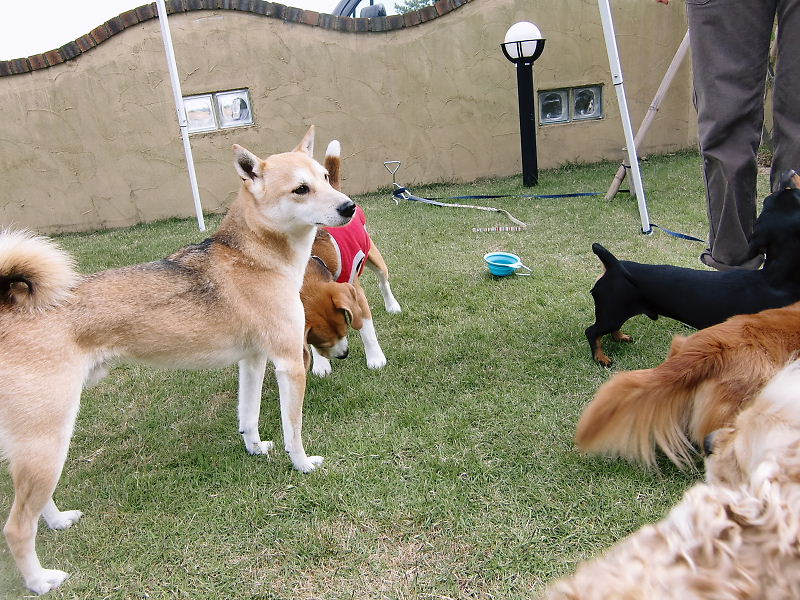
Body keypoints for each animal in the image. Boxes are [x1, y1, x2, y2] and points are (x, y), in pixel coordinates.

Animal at [0, 126, 355, 595]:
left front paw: (255, 447)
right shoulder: (288, 363)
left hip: (36, 447)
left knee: (33, 505)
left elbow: (248, 414)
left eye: (325, 178)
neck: (256, 254)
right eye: (301, 188)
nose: (349, 206)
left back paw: (58, 522)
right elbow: (293, 430)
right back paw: (40, 580)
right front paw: (301, 465)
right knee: (16, 526)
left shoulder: (253, 360)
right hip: (48, 438)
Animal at [301, 140, 401, 377]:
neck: (313, 259)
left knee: (383, 282)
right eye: (319, 341)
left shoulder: (355, 294)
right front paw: (321, 365)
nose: (343, 354)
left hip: (374, 257)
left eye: (344, 327)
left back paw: (392, 305)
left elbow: (366, 328)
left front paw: (375, 359)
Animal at [585, 172, 800, 366]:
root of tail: (613, 265)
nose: (788, 172)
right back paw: (601, 358)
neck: (775, 279)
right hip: (611, 311)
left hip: (615, 312)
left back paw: (620, 337)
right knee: (592, 331)